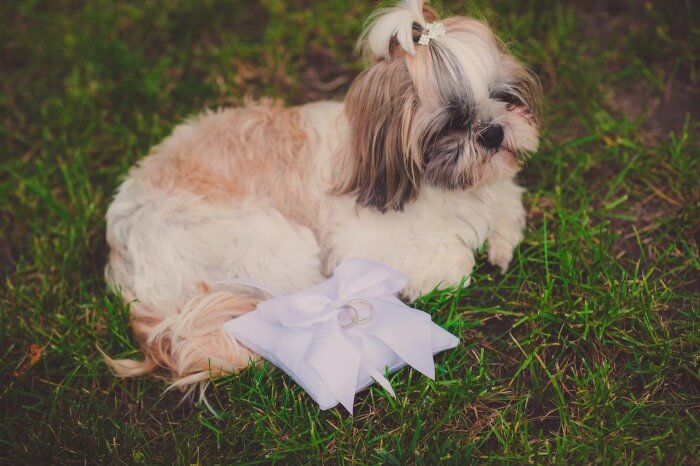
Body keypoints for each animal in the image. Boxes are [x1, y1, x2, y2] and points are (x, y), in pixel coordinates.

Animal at [104, 0, 540, 394]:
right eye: (453, 122)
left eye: (505, 97)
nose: (493, 132)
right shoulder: (364, 244)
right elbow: (452, 264)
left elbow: (507, 209)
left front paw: (500, 241)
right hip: (277, 243)